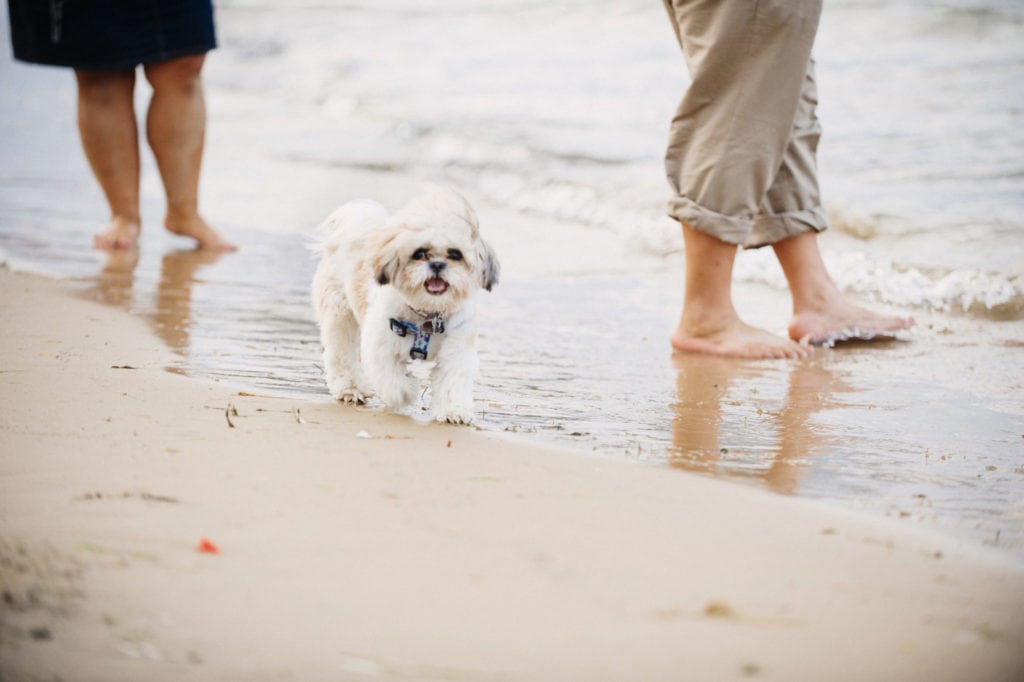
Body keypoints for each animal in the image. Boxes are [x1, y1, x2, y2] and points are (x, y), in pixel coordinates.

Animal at [313, 184, 501, 419]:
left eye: (455, 254)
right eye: (419, 253)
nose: (437, 264)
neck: (429, 313)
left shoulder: (457, 349)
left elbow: (452, 381)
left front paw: (453, 410)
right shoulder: (381, 347)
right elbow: (394, 380)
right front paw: (407, 391)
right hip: (339, 312)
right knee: (341, 351)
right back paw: (351, 389)